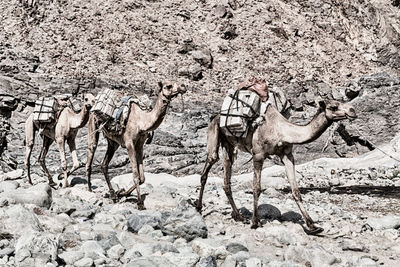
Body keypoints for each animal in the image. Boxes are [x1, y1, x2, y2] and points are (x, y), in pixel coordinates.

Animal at [197, 98, 356, 234]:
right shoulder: (258, 154)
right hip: (214, 133)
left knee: (226, 178)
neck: (283, 132)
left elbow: (296, 191)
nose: (353, 110)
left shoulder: (287, 155)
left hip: (229, 145)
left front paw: (313, 226)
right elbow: (256, 188)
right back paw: (199, 208)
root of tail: (215, 116)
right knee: (209, 165)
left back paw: (239, 216)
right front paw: (255, 222)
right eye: (334, 107)